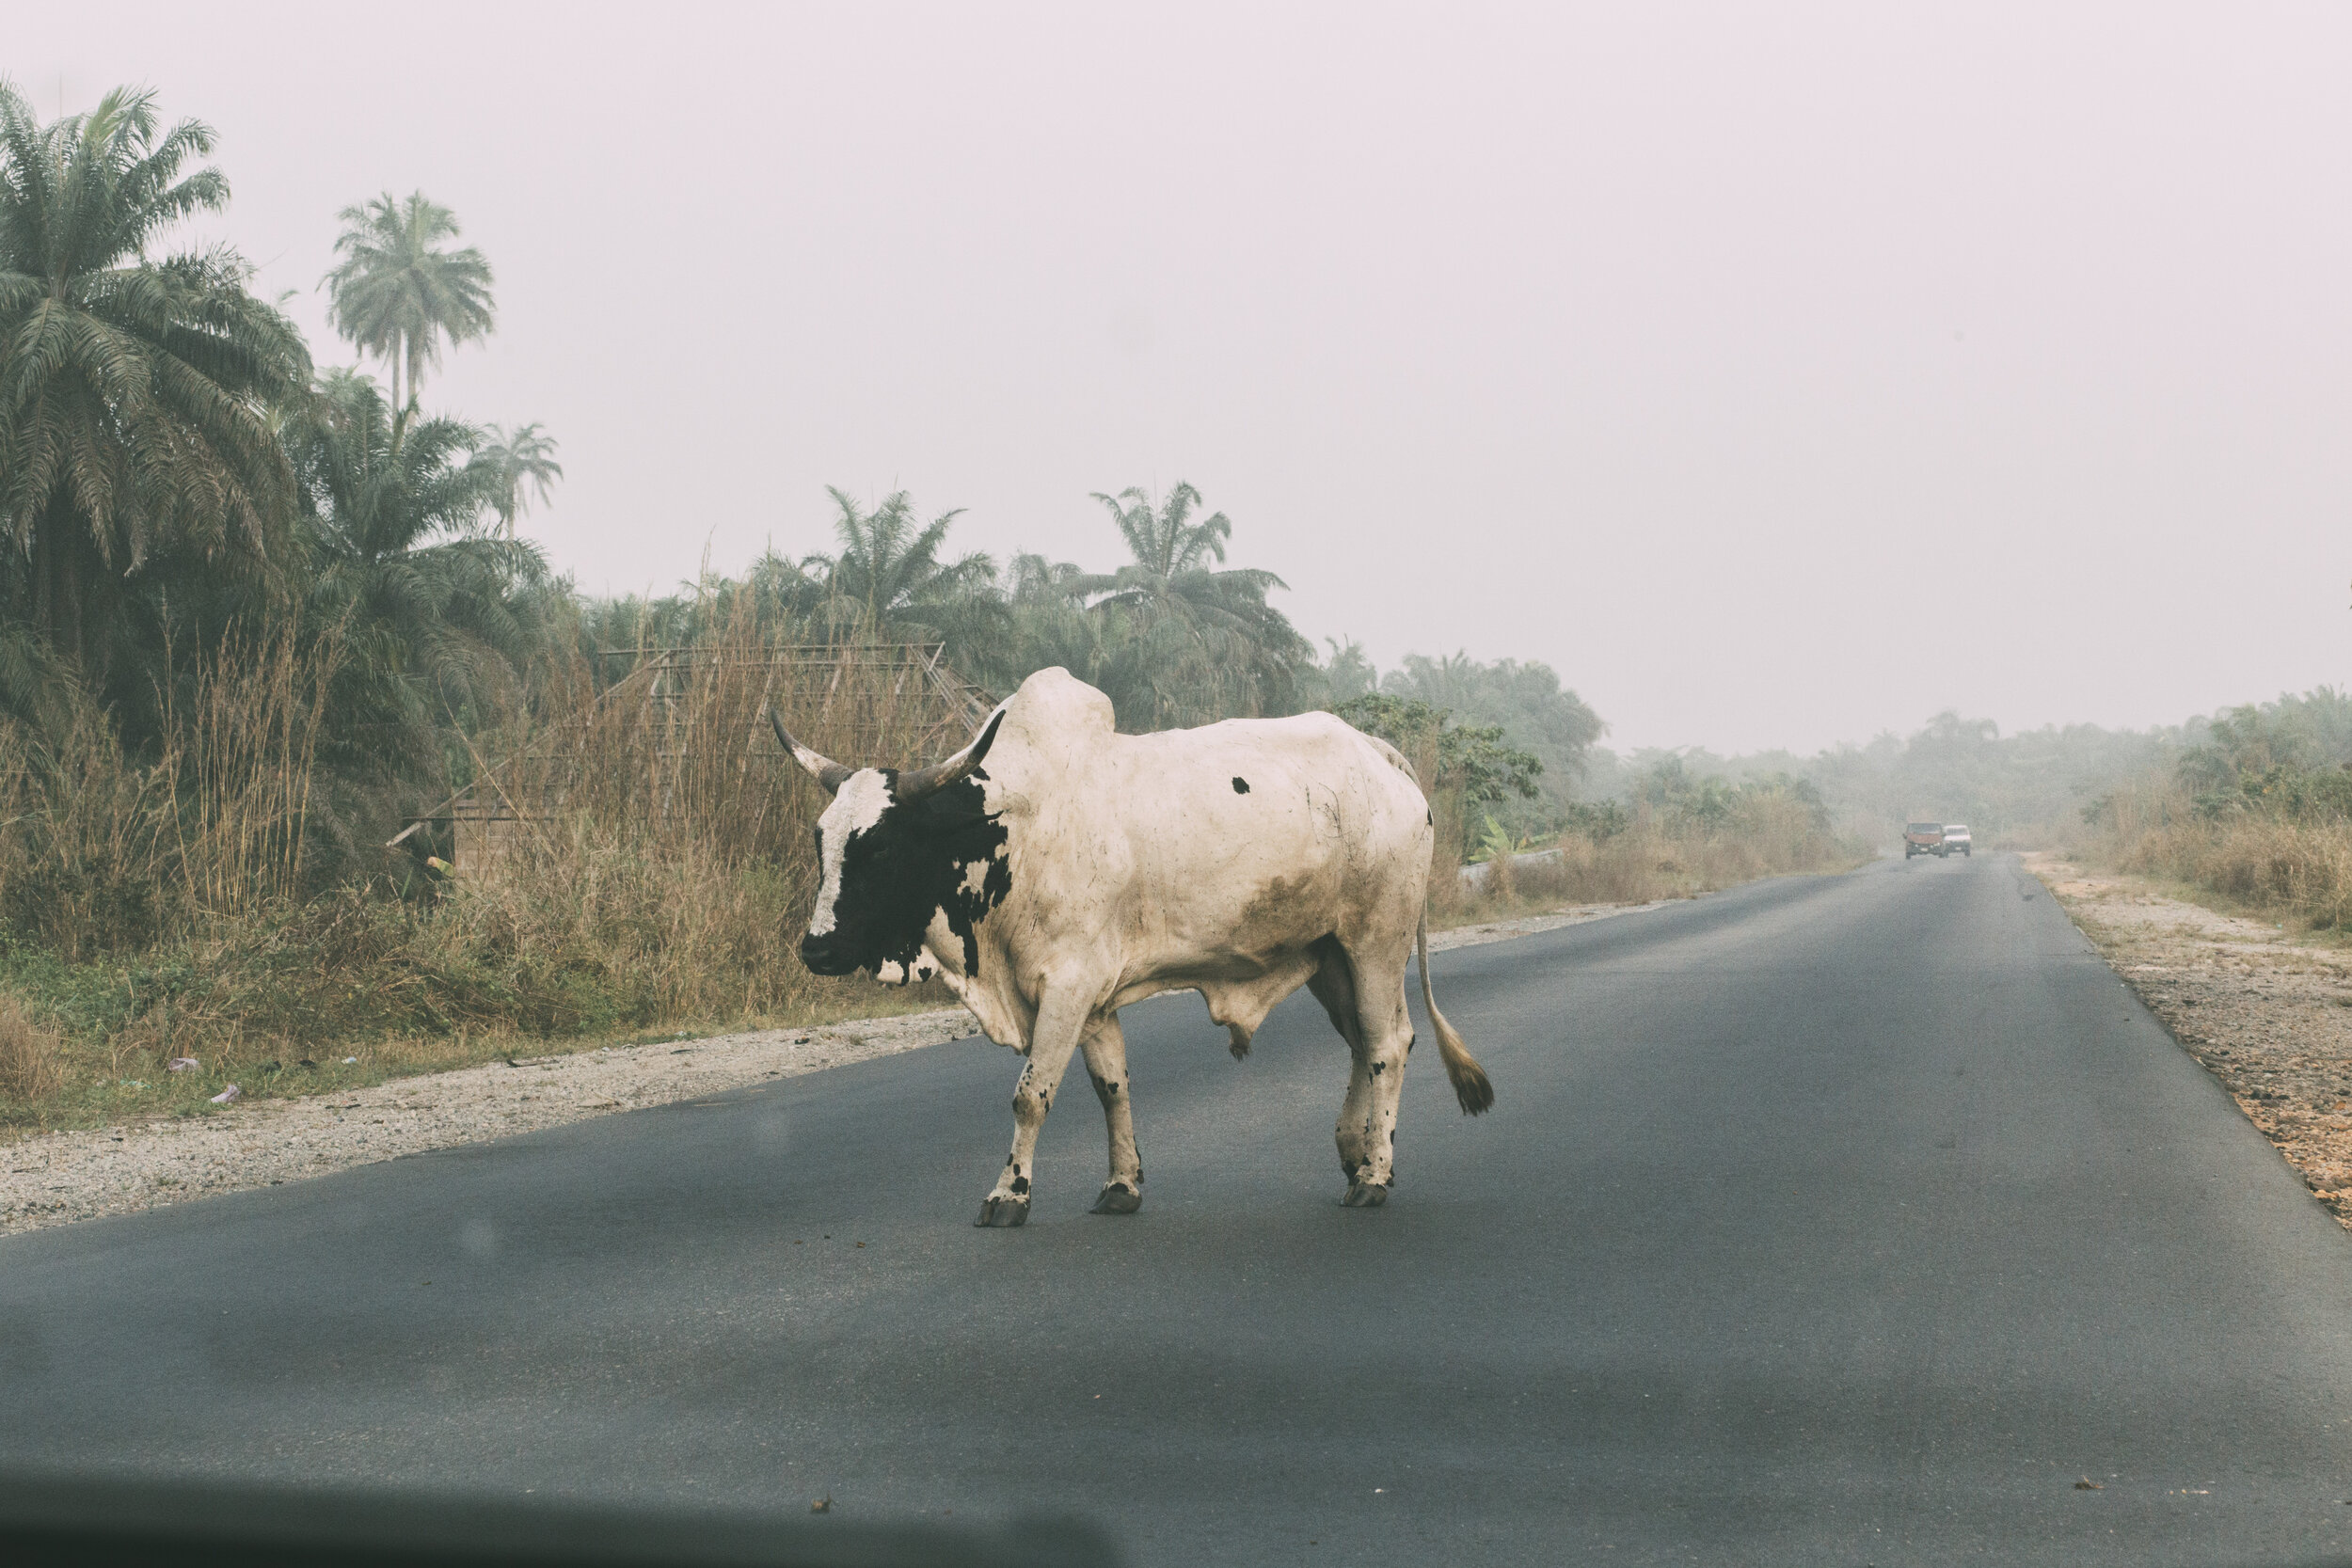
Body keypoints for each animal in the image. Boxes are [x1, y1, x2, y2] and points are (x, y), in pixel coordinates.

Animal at [781, 662, 1496, 1222]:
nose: (816, 949)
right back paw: (1356, 1154)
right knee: (1360, 1043)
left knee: (1387, 1044)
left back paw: (1373, 1175)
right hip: (1330, 958)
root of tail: (1378, 753)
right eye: (821, 837)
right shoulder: (1093, 999)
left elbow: (1031, 1093)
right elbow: (1111, 1087)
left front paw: (1010, 1194)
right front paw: (1122, 1183)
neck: (1017, 827)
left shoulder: (1066, 988)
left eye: (879, 846)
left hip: (1376, 943)